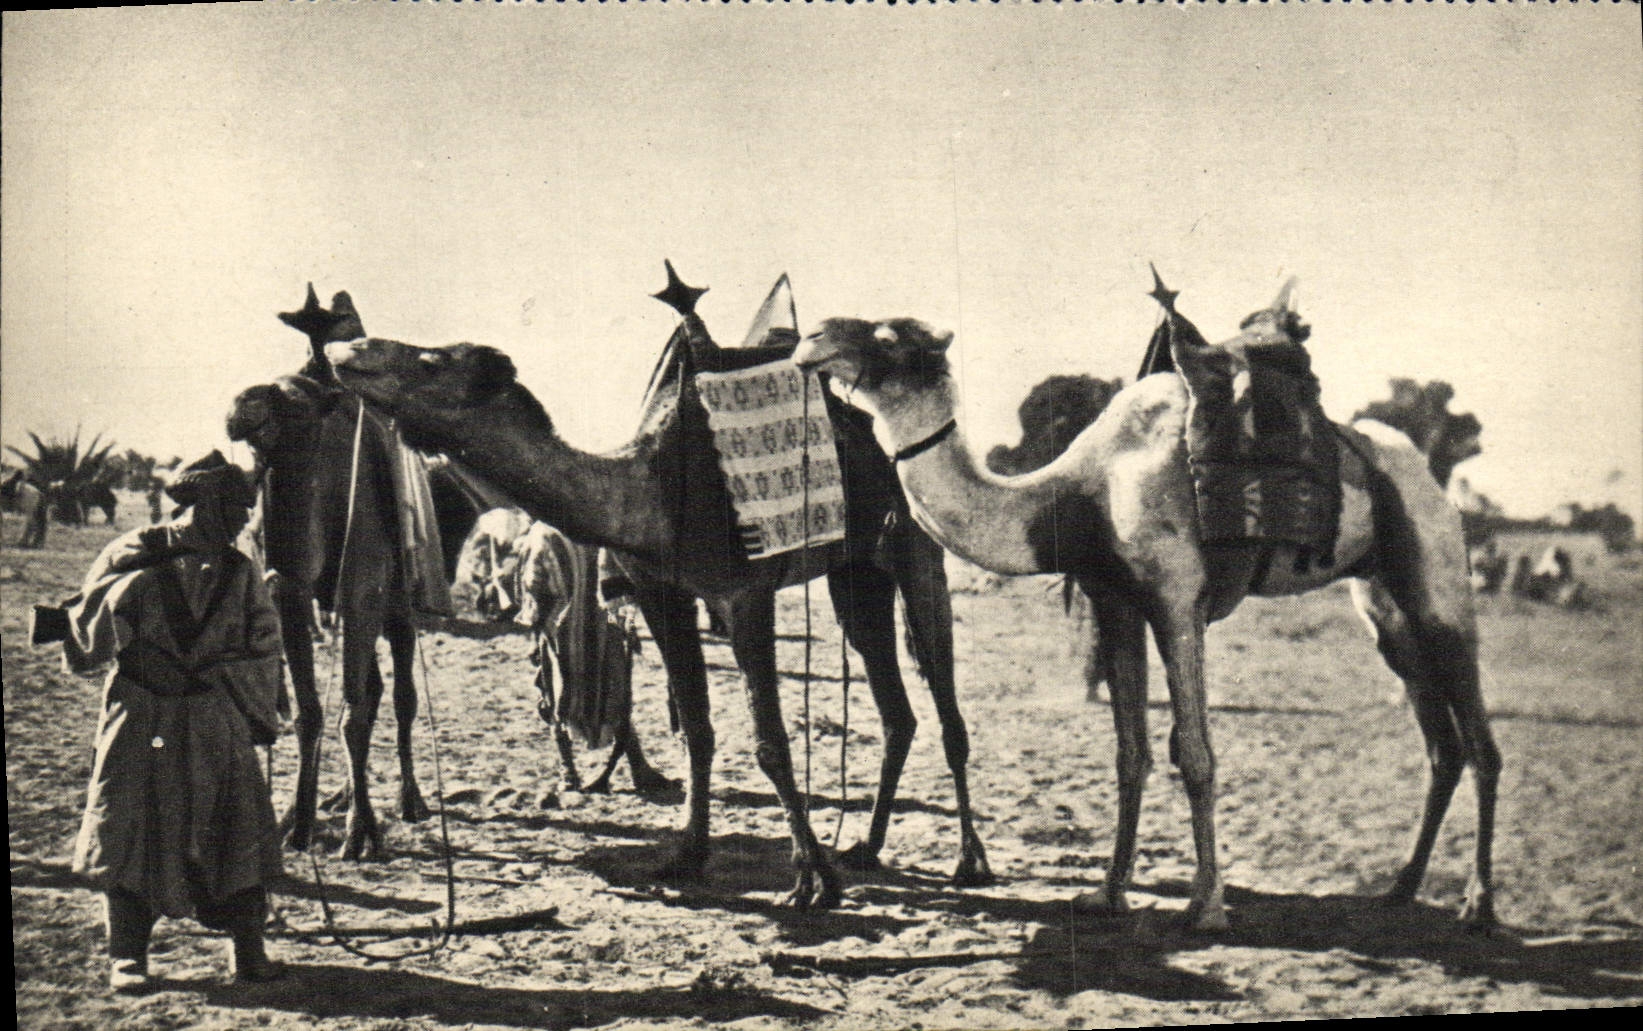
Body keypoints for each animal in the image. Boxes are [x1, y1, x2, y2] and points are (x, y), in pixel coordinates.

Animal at [226, 287, 481, 860]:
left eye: (294, 397)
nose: (239, 409)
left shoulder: (363, 587)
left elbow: (358, 709)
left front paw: (362, 832)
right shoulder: (292, 589)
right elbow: (311, 711)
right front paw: (296, 822)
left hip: (400, 605)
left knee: (401, 696)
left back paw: (409, 802)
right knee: (371, 689)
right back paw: (340, 797)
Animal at [325, 272, 989, 908]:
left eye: (430, 362)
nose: (346, 349)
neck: (653, 494)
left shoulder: (743, 595)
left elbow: (769, 741)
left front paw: (811, 880)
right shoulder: (660, 594)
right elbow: (697, 728)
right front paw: (688, 855)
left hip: (915, 544)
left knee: (946, 703)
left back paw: (968, 860)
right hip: (855, 573)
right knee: (897, 711)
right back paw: (867, 847)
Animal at [790, 282, 1501, 931]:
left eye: (889, 336)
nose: (811, 338)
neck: (1082, 493)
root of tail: (1424, 474)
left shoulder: (1176, 600)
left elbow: (1194, 751)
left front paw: (1206, 906)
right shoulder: (1115, 602)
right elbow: (1128, 751)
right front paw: (1107, 894)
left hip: (1437, 580)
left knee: (1482, 743)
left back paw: (1478, 905)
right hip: (1384, 609)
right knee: (1443, 748)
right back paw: (1400, 889)